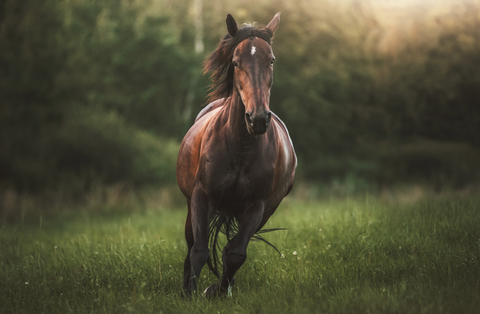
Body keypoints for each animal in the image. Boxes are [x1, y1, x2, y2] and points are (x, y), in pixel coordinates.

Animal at [176, 11, 296, 296]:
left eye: (271, 60)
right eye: (235, 62)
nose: (258, 119)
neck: (241, 145)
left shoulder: (257, 207)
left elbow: (236, 254)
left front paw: (218, 292)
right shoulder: (202, 196)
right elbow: (198, 250)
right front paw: (189, 294)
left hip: (263, 213)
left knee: (232, 247)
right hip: (191, 206)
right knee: (191, 245)